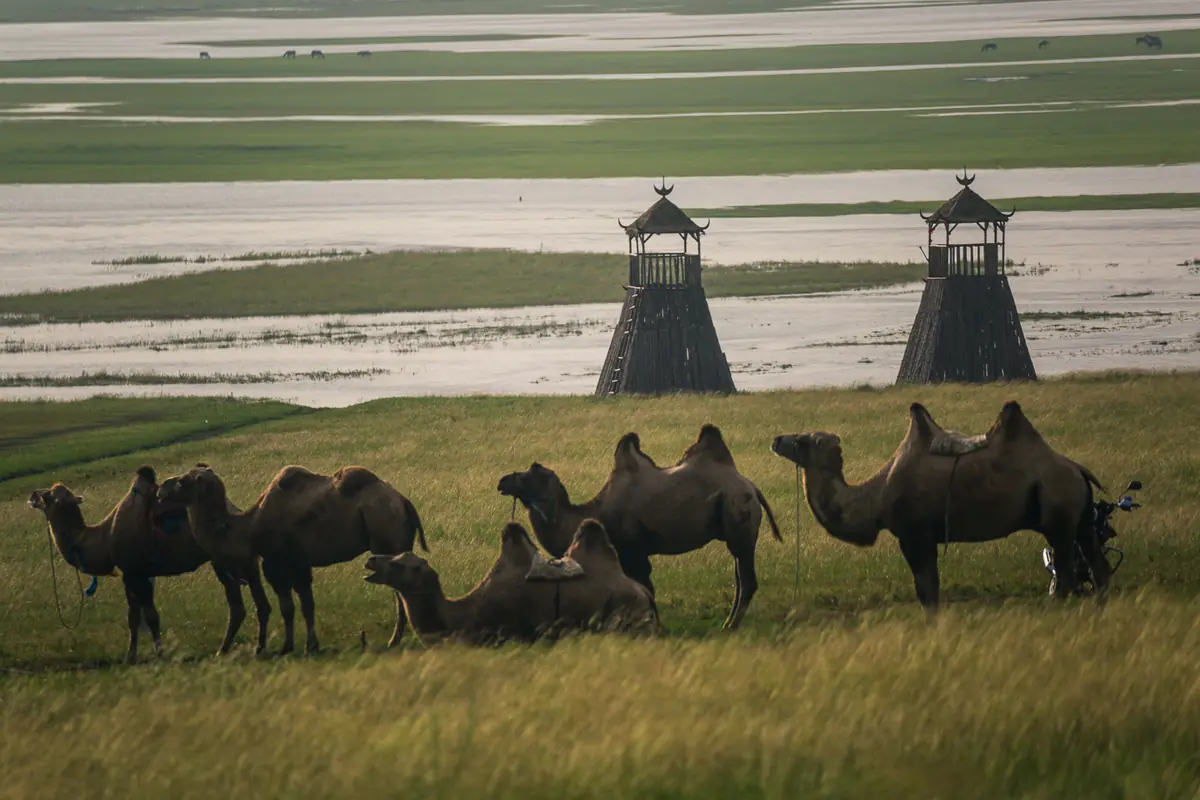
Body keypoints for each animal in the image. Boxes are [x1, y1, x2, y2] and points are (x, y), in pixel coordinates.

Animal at [28, 467, 271, 663]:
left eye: (48, 495)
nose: (32, 495)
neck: (104, 538)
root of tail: (234, 509)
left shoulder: (135, 573)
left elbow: (149, 617)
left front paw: (156, 654)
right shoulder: (133, 575)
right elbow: (136, 617)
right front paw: (133, 656)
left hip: (220, 560)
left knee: (237, 604)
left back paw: (226, 649)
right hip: (219, 561)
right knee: (236, 605)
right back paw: (224, 649)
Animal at [157, 463, 427, 655]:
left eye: (181, 482)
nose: (160, 489)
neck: (246, 528)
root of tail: (403, 501)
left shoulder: (276, 563)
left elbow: (287, 607)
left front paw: (287, 647)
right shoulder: (300, 563)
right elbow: (307, 604)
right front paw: (311, 645)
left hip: (386, 537)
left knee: (398, 589)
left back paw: (394, 640)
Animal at [498, 424, 781, 630]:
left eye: (531, 472)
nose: (502, 481)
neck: (596, 511)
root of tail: (751, 487)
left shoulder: (634, 551)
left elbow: (646, 588)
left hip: (739, 518)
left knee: (747, 580)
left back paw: (730, 626)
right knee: (740, 578)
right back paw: (730, 621)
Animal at [771, 401, 1108, 608]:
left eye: (802, 440)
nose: (776, 440)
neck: (877, 496)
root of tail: (1078, 470)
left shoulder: (914, 534)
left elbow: (926, 590)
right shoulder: (924, 537)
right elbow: (929, 588)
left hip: (1057, 511)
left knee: (1066, 570)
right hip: (1080, 516)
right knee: (1097, 562)